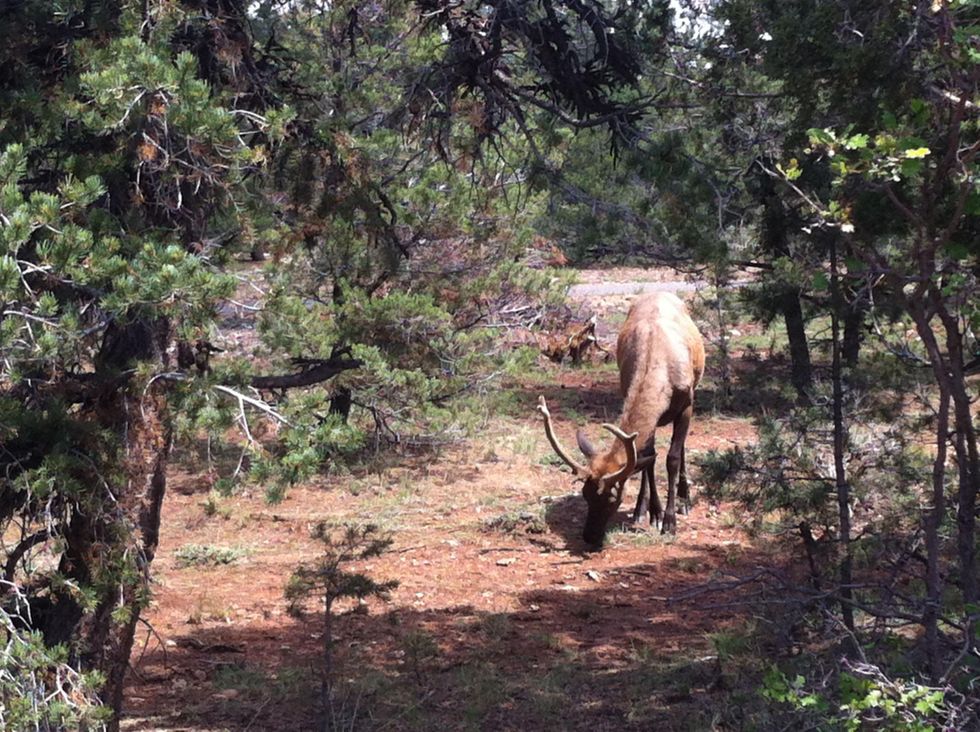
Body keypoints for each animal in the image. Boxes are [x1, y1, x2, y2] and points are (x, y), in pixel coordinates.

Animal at [537, 292, 706, 547]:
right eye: (585, 494)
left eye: (612, 498)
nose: (589, 537)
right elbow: (649, 458)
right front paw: (650, 511)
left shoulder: (686, 403)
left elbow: (672, 458)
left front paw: (669, 521)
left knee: (682, 447)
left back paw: (684, 498)